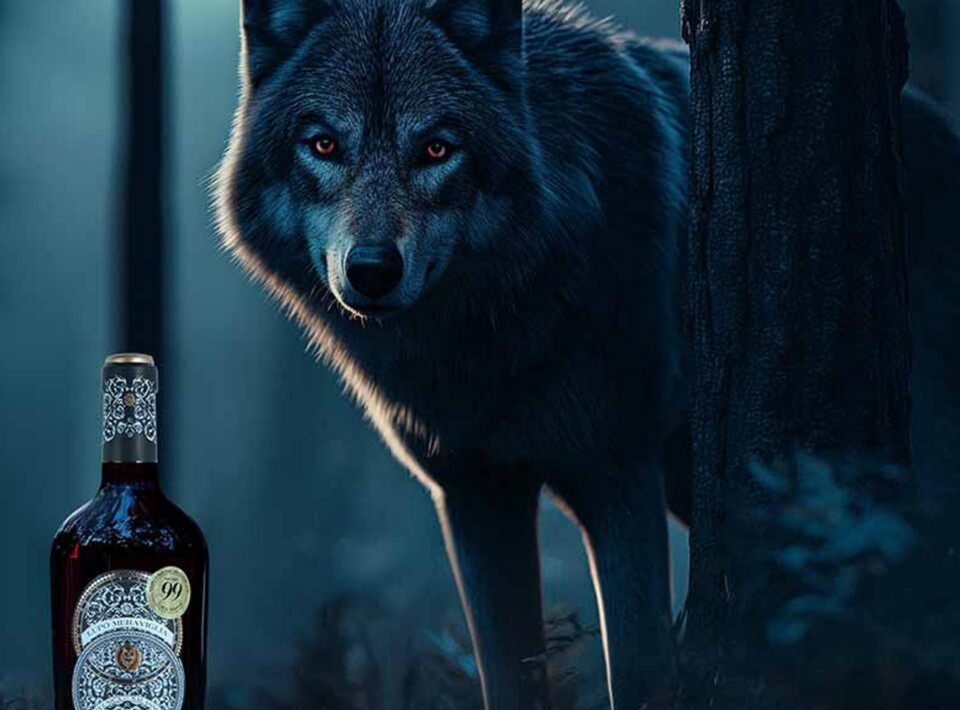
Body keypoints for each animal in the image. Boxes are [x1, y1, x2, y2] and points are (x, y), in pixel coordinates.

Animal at [215, 0, 960, 708]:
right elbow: (508, 681)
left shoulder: (618, 479)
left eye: (436, 149)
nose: (372, 269)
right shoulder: (474, 499)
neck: (494, 344)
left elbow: (636, 672)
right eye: (323, 143)